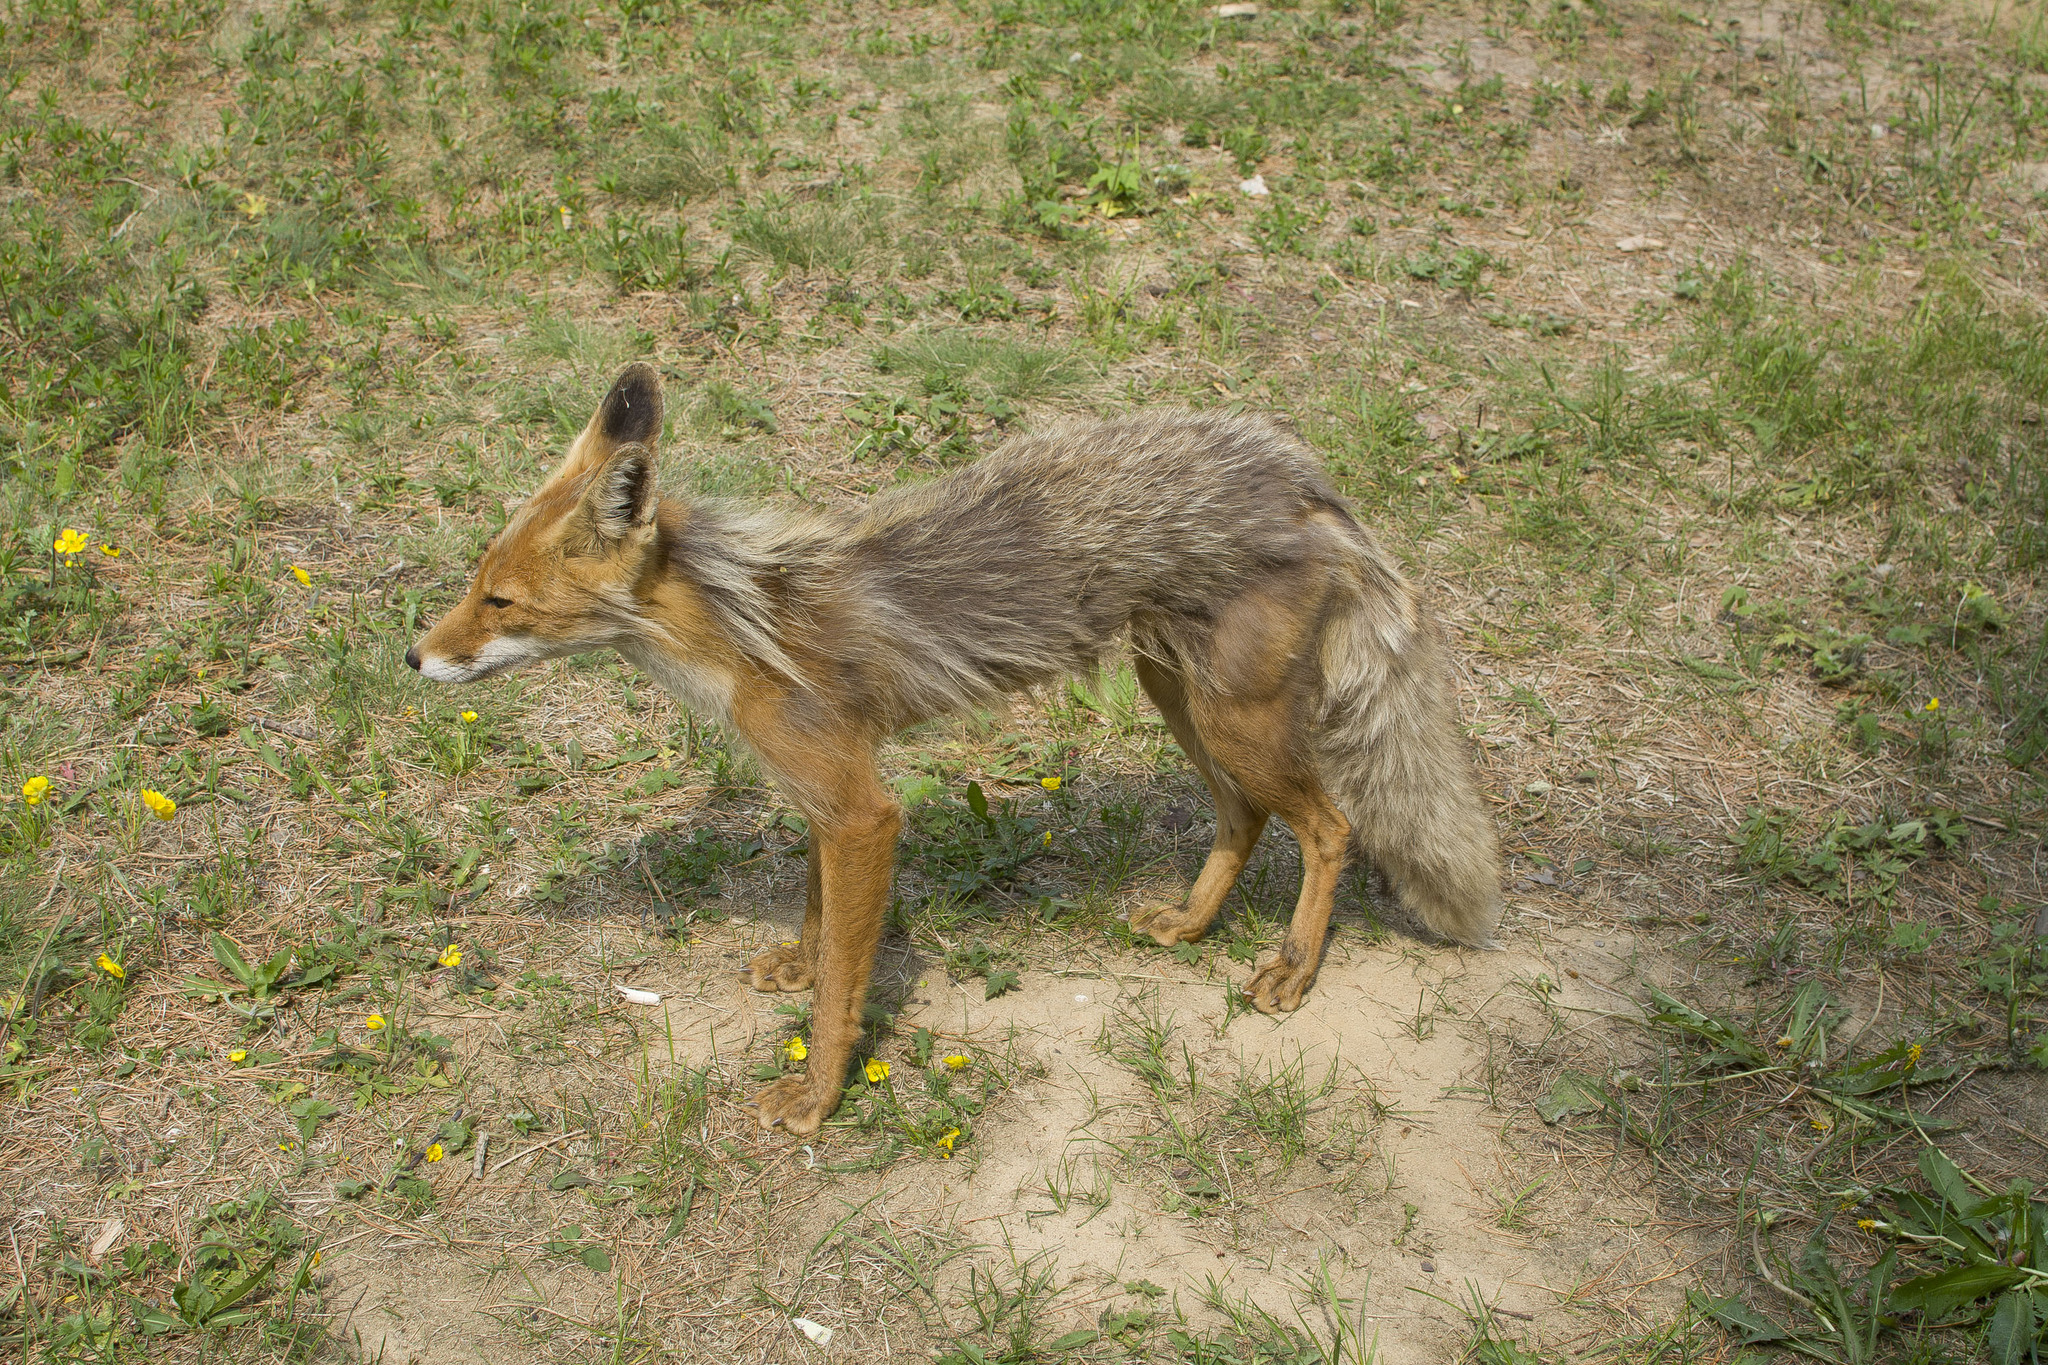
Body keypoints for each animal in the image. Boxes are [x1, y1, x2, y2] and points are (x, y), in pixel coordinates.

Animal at [407, 366, 1499, 1146]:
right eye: (473, 582)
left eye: (500, 601)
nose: (414, 657)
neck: (746, 624)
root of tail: (1298, 469)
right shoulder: (826, 794)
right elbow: (817, 919)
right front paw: (796, 962)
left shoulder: (860, 809)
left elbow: (842, 990)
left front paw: (816, 1096)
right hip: (1178, 695)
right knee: (1247, 813)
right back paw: (1191, 923)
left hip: (1234, 718)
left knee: (1332, 823)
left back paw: (1291, 969)